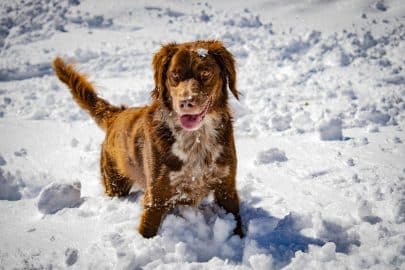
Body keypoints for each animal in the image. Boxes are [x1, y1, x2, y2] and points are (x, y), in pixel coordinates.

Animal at [53, 40, 243, 238]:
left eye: (205, 73)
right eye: (174, 75)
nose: (185, 102)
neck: (196, 138)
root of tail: (116, 114)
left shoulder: (226, 188)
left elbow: (237, 225)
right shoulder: (156, 198)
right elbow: (147, 230)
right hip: (114, 182)